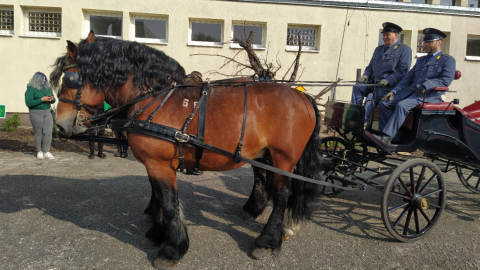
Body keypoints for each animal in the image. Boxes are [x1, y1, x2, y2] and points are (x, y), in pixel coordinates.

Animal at [53, 31, 326, 268]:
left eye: (70, 80)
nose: (60, 125)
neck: (153, 99)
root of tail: (302, 96)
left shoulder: (160, 164)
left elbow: (169, 203)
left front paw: (172, 249)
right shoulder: (154, 164)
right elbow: (159, 198)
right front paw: (157, 233)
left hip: (284, 158)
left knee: (281, 196)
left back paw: (268, 241)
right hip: (264, 155)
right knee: (263, 181)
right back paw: (256, 212)